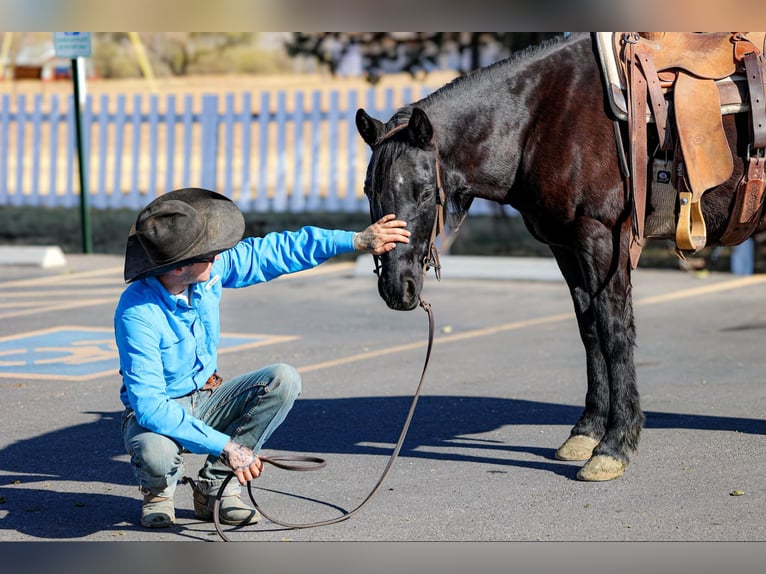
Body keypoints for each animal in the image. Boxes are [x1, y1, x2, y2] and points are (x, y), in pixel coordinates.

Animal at [354, 31, 760, 482]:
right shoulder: (566, 246)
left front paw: (615, 446)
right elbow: (589, 331)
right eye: (370, 191)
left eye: (426, 193)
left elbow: (614, 332)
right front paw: (586, 432)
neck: (544, 117)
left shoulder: (603, 238)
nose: (397, 289)